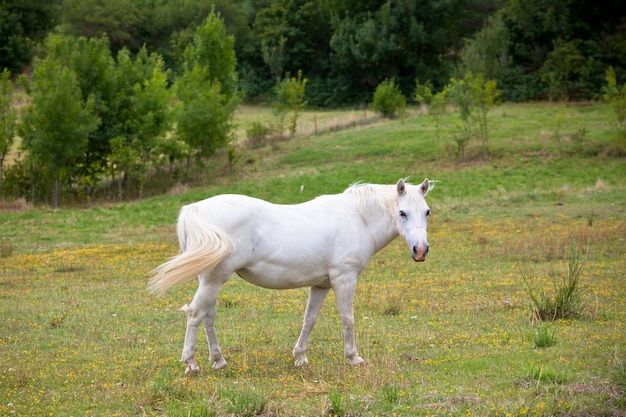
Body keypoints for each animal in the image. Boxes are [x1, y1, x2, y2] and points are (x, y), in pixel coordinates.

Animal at [149, 177, 432, 372]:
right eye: (402, 213)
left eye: (427, 211)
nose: (420, 250)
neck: (357, 219)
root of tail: (195, 209)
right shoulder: (344, 279)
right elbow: (347, 319)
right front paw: (353, 357)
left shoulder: (321, 285)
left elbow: (310, 319)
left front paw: (300, 357)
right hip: (213, 280)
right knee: (195, 314)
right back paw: (191, 364)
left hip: (211, 281)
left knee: (208, 316)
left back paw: (219, 360)